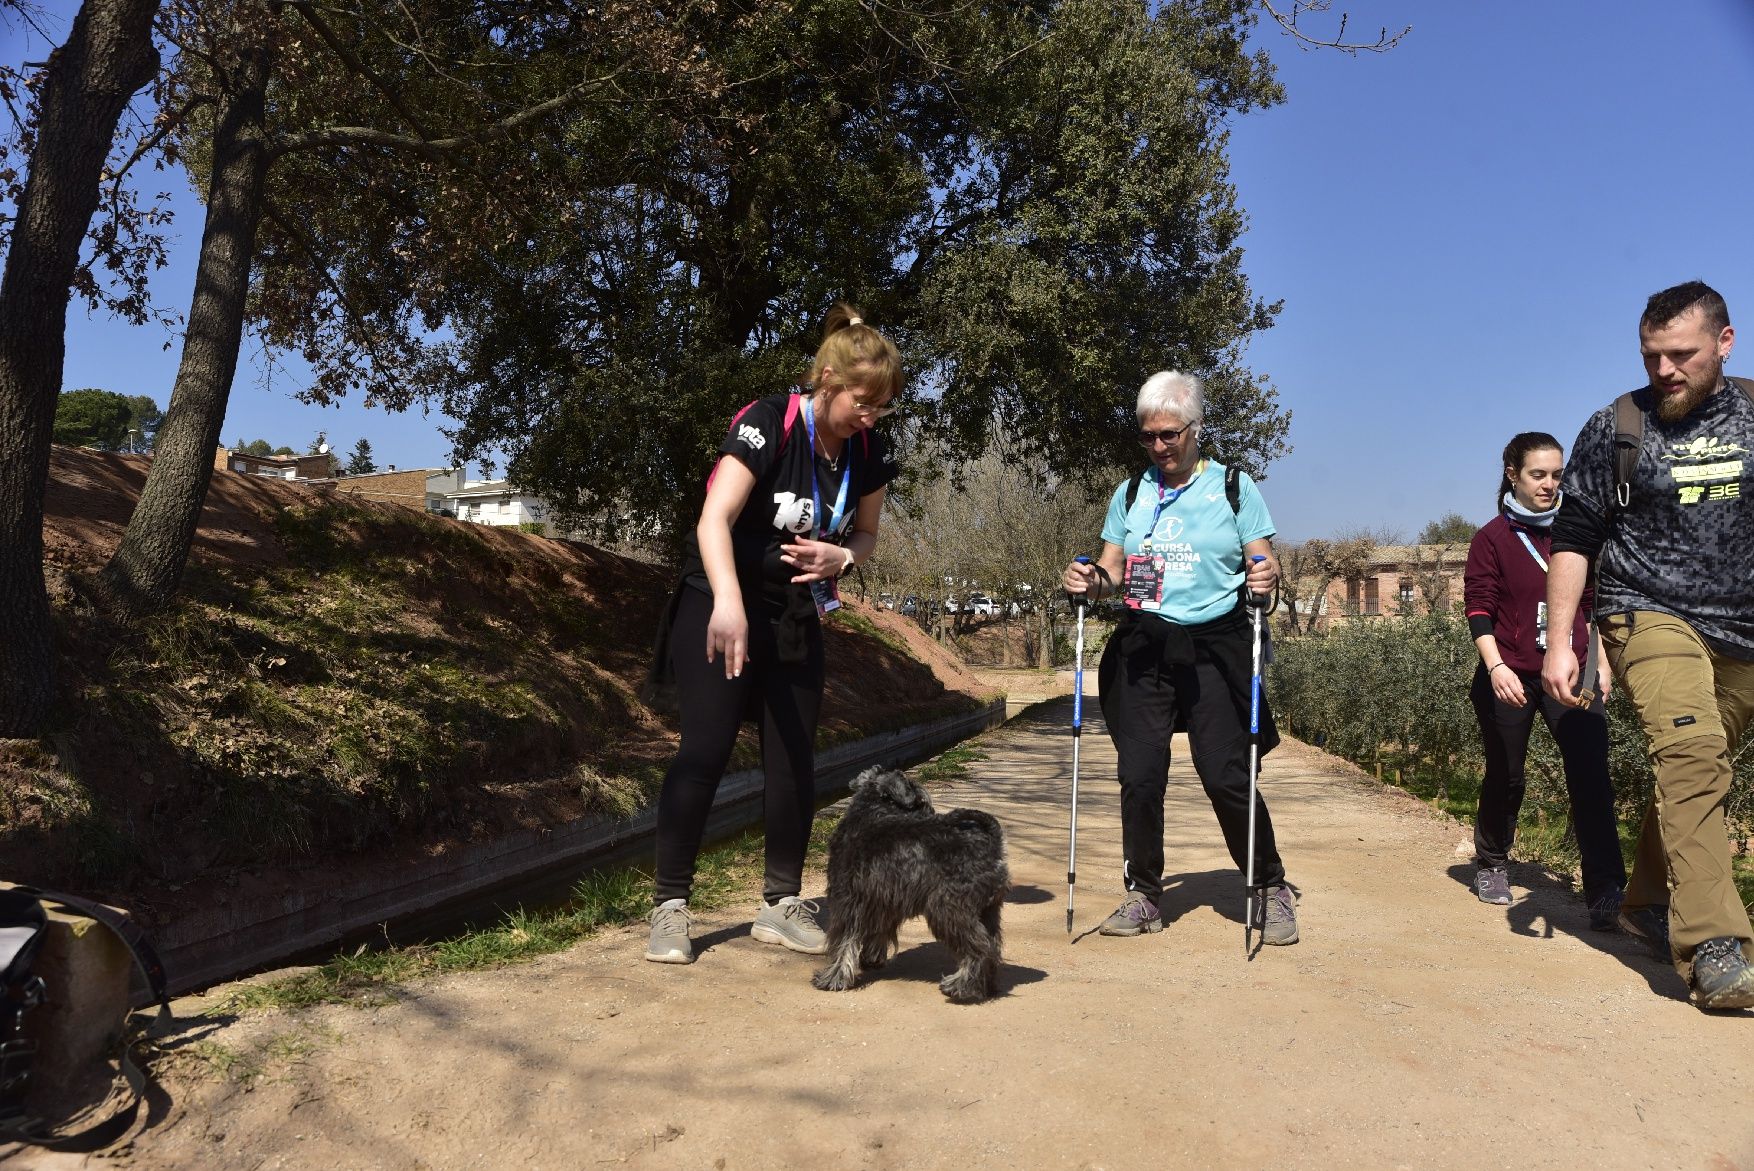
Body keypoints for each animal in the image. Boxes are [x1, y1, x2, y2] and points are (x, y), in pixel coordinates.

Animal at [810, 764, 1010, 1002]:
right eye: (921, 800)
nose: (930, 812)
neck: (870, 812)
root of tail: (992, 844)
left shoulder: (847, 902)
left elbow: (842, 943)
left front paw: (832, 979)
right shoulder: (881, 902)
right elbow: (876, 933)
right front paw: (871, 959)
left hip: (948, 910)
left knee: (980, 947)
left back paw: (960, 987)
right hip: (988, 911)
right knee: (993, 946)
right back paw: (986, 987)